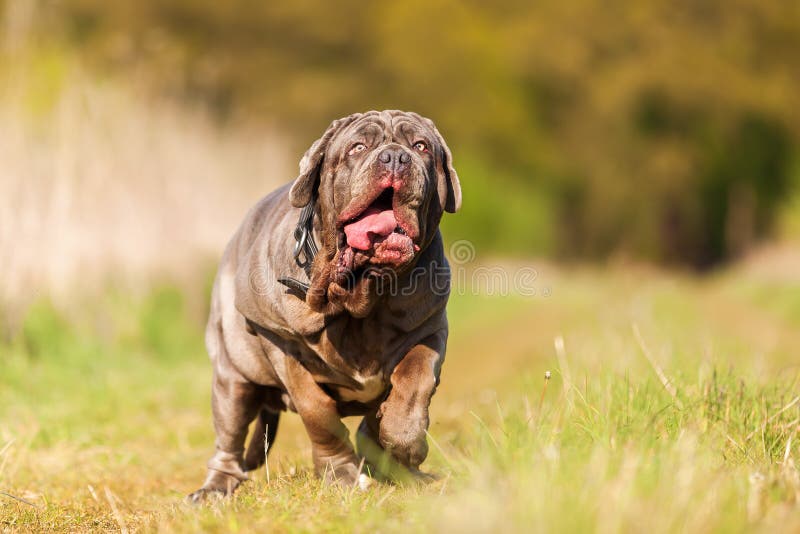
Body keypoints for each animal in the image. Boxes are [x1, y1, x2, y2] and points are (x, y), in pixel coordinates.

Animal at [190, 110, 460, 502]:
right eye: (357, 147)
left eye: (421, 146)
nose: (396, 157)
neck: (362, 297)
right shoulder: (287, 352)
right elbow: (320, 416)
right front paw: (342, 475)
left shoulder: (428, 331)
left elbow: (414, 382)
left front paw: (404, 443)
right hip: (232, 378)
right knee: (229, 438)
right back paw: (213, 490)